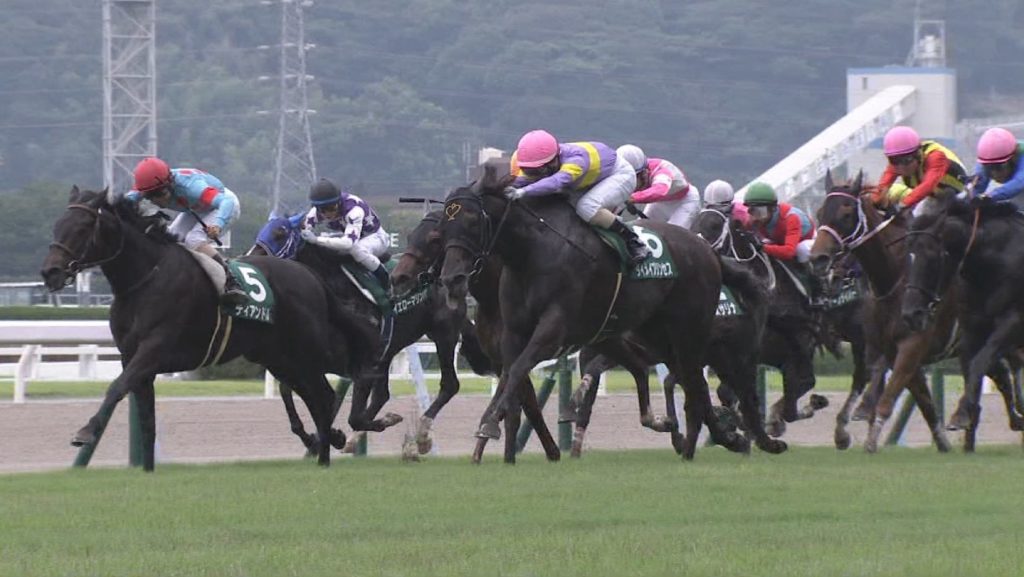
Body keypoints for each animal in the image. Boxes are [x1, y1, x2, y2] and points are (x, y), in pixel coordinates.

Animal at [245, 217, 489, 457]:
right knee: (382, 395)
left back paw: (422, 436)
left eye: (279, 233)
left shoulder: (363, 364)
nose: (250, 259)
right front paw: (315, 439)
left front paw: (373, 425)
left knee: (449, 385)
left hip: (443, 334)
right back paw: (354, 440)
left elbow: (353, 415)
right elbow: (289, 392)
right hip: (391, 349)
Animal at [436, 165, 749, 463]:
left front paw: (490, 425)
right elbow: (514, 378)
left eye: (473, 220)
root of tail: (705, 249)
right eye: (442, 227)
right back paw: (690, 430)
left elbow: (516, 372)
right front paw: (497, 445)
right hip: (641, 334)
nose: (452, 279)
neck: (532, 252)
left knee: (693, 381)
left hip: (688, 331)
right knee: (655, 371)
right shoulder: (514, 333)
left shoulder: (552, 330)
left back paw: (715, 438)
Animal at [901, 196, 1024, 448]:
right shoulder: (970, 330)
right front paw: (968, 424)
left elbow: (980, 362)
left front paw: (960, 415)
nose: (910, 314)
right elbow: (973, 372)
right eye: (908, 255)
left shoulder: (1012, 324)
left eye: (932, 257)